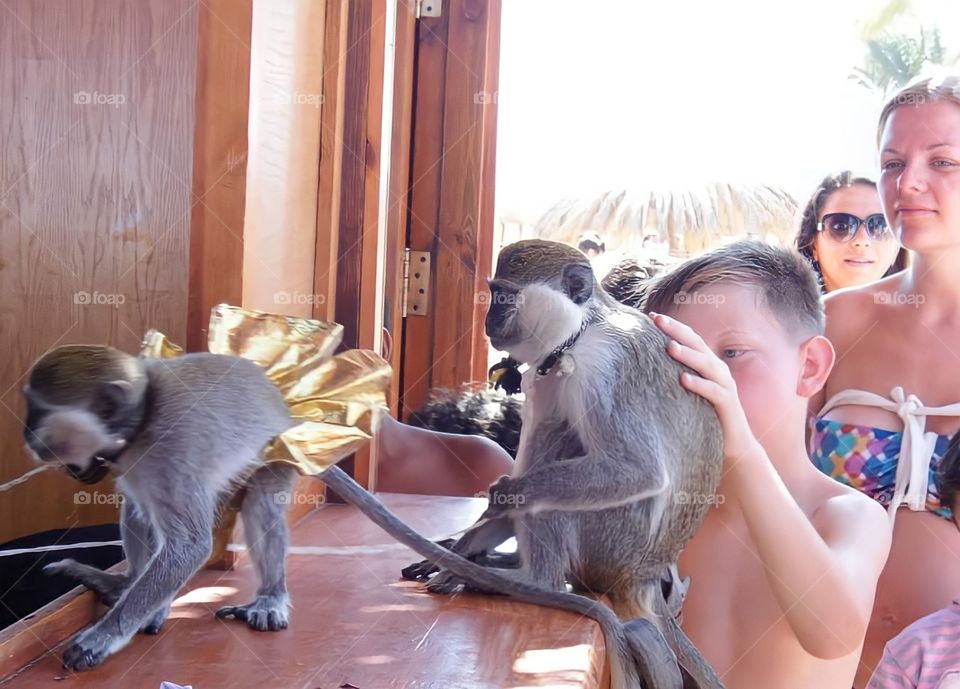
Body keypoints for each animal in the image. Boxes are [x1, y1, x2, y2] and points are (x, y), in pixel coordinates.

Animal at [23, 345, 299, 671]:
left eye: (38, 412)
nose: (28, 436)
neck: (141, 421)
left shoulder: (172, 456)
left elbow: (189, 546)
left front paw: (105, 635)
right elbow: (149, 517)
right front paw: (149, 606)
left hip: (277, 453)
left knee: (262, 502)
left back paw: (271, 597)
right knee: (136, 507)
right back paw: (123, 583)